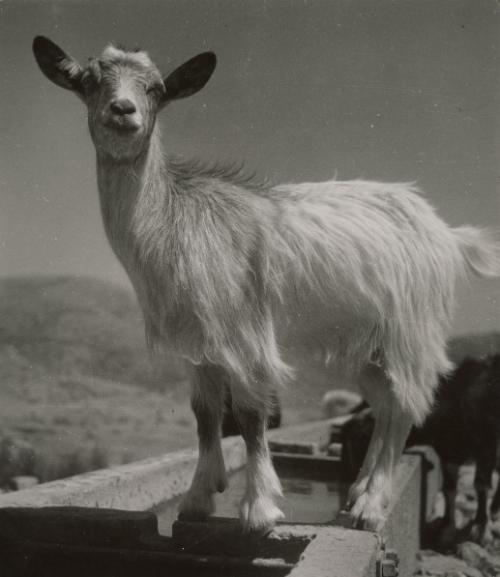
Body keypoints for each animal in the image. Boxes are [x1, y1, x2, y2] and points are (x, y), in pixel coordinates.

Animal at [342, 352, 500, 544]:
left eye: (359, 440)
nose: (349, 495)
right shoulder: (447, 452)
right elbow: (449, 488)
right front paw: (447, 528)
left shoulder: (486, 444)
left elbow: (481, 485)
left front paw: (480, 528)